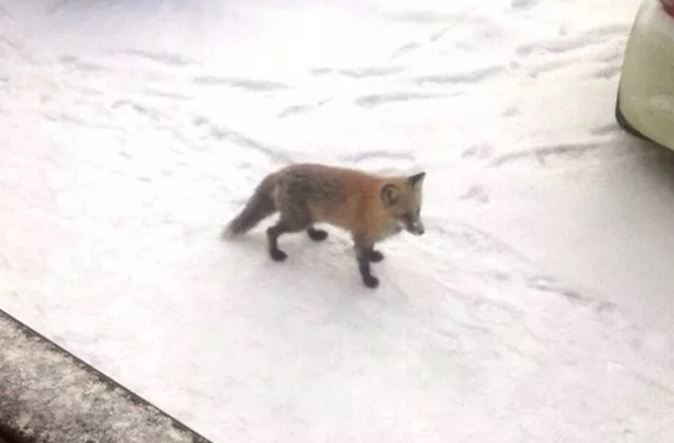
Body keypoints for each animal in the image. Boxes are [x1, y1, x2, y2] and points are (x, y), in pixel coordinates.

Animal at [223, 163, 426, 288]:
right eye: (405, 215)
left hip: (306, 217)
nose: (422, 231)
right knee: (270, 231)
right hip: (296, 222)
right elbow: (363, 263)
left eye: (418, 211)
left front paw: (374, 256)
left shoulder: (367, 237)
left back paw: (315, 235)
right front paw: (368, 281)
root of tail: (282, 172)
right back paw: (275, 254)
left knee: (302, 228)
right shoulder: (360, 237)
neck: (375, 210)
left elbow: (369, 252)